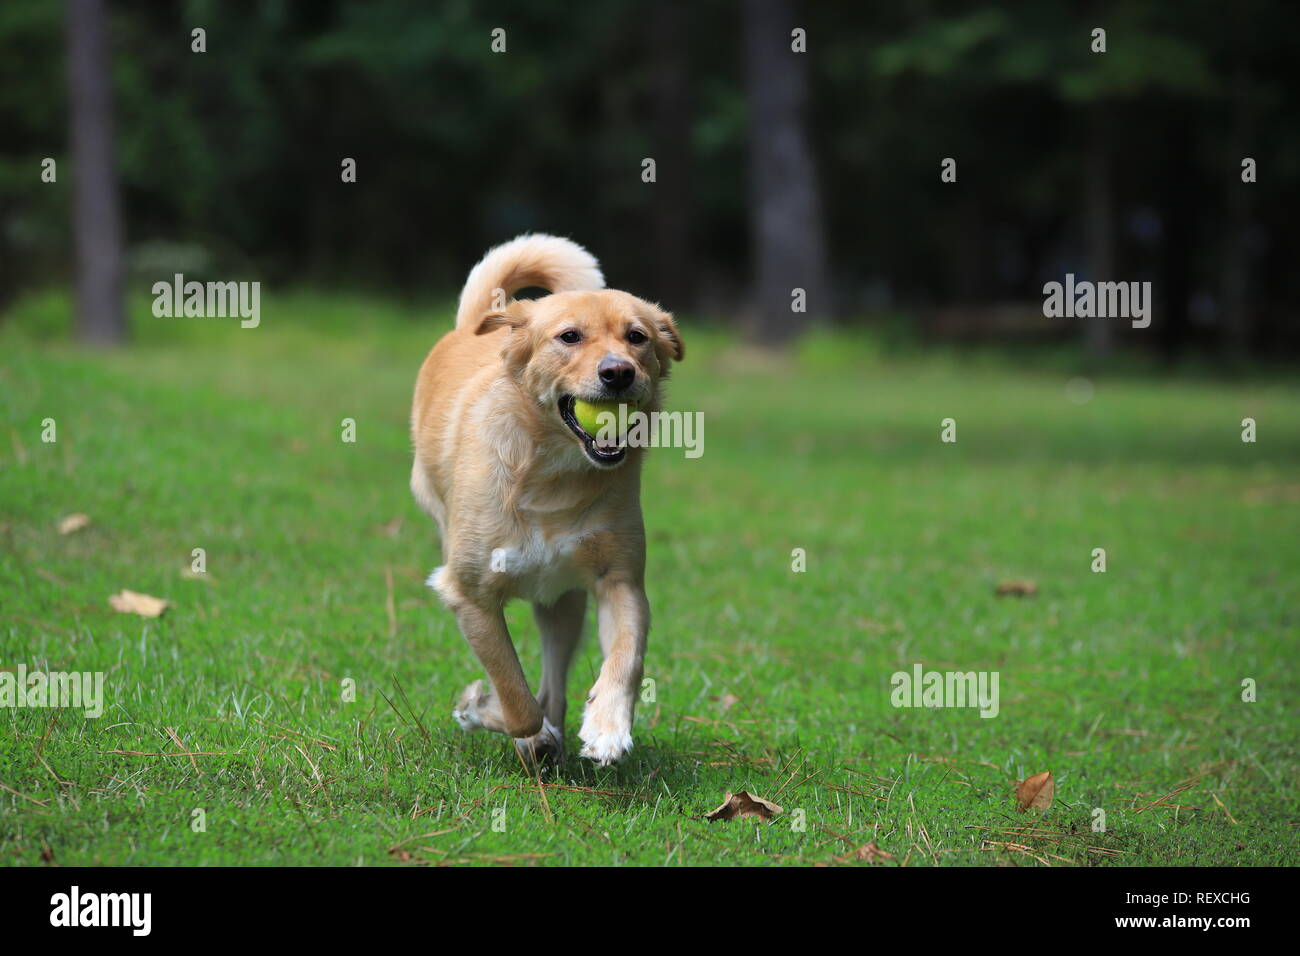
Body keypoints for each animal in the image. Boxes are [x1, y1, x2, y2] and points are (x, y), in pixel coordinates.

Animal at [410, 235, 686, 764]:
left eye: (637, 337)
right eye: (569, 337)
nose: (618, 373)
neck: (552, 474)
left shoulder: (620, 581)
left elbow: (626, 657)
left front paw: (607, 726)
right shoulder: (469, 594)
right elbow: (513, 694)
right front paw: (490, 714)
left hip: (562, 604)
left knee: (553, 684)